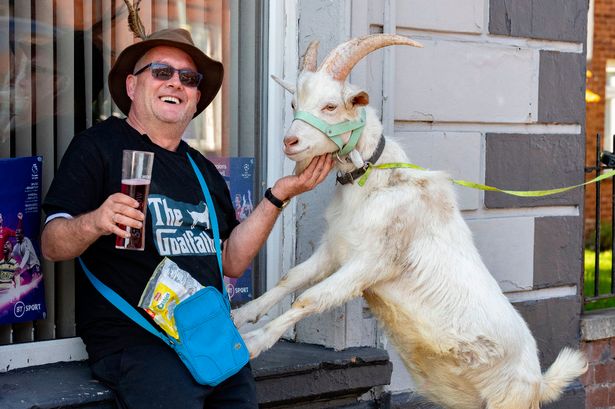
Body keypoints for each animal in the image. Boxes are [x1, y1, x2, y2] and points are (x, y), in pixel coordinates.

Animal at [233, 34, 588, 408]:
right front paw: (241, 315)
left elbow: (311, 298)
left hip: (509, 401)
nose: (290, 142)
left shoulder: (371, 262)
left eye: (330, 106)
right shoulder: (335, 249)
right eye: (293, 104)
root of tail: (538, 382)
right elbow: (292, 278)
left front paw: (254, 342)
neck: (374, 184)